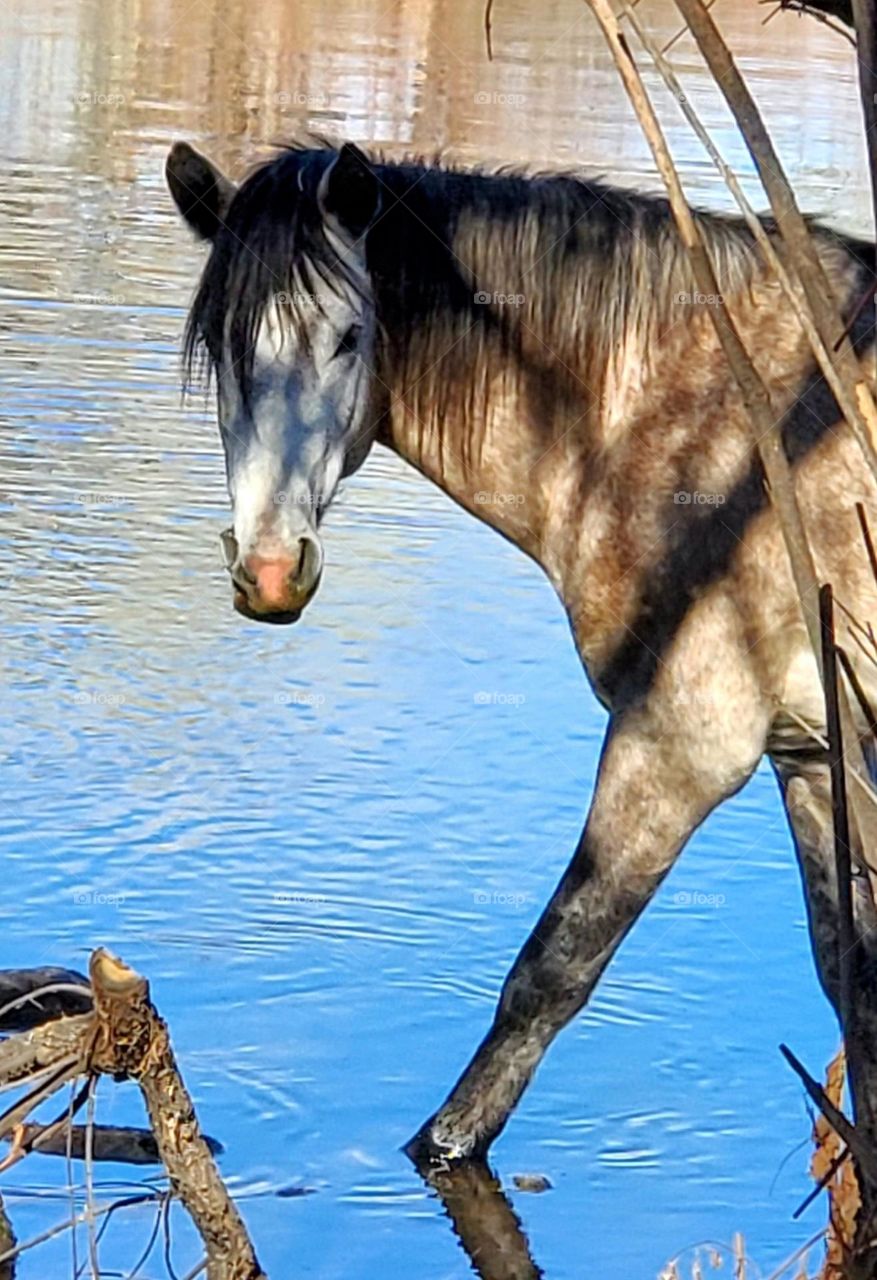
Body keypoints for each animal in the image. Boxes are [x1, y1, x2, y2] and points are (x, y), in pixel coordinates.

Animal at [166, 137, 877, 1164]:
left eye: (347, 337)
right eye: (221, 348)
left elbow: (546, 977)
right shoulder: (813, 753)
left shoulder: (678, 745)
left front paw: (439, 1146)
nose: (267, 570)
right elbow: (849, 977)